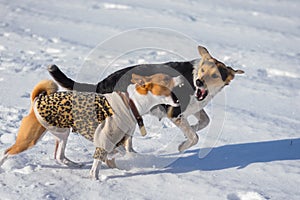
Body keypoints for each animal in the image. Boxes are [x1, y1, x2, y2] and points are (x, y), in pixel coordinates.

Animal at [0, 72, 183, 179]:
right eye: (166, 79)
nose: (181, 77)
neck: (132, 103)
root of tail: (37, 100)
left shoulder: (118, 141)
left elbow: (121, 153)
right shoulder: (104, 139)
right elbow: (98, 164)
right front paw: (95, 179)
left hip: (63, 133)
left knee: (59, 156)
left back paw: (74, 164)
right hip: (30, 139)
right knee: (6, 152)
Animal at [47, 45, 244, 152]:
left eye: (215, 75)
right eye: (203, 70)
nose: (199, 82)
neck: (192, 77)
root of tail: (101, 83)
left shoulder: (194, 107)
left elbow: (204, 122)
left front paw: (192, 129)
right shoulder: (175, 113)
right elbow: (194, 137)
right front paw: (182, 146)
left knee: (127, 142)